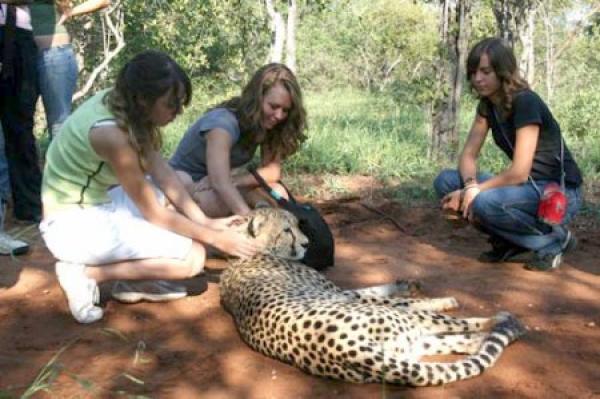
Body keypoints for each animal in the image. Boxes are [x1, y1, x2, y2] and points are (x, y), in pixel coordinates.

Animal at [221, 208, 524, 386]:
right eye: (287, 230)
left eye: (298, 225)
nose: (306, 244)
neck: (247, 251)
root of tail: (343, 350)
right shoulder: (341, 294)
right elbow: (390, 298)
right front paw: (441, 300)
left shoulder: (342, 293)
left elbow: (374, 289)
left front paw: (406, 283)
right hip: (403, 327)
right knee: (453, 325)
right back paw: (501, 321)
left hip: (405, 346)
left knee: (448, 342)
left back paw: (483, 338)